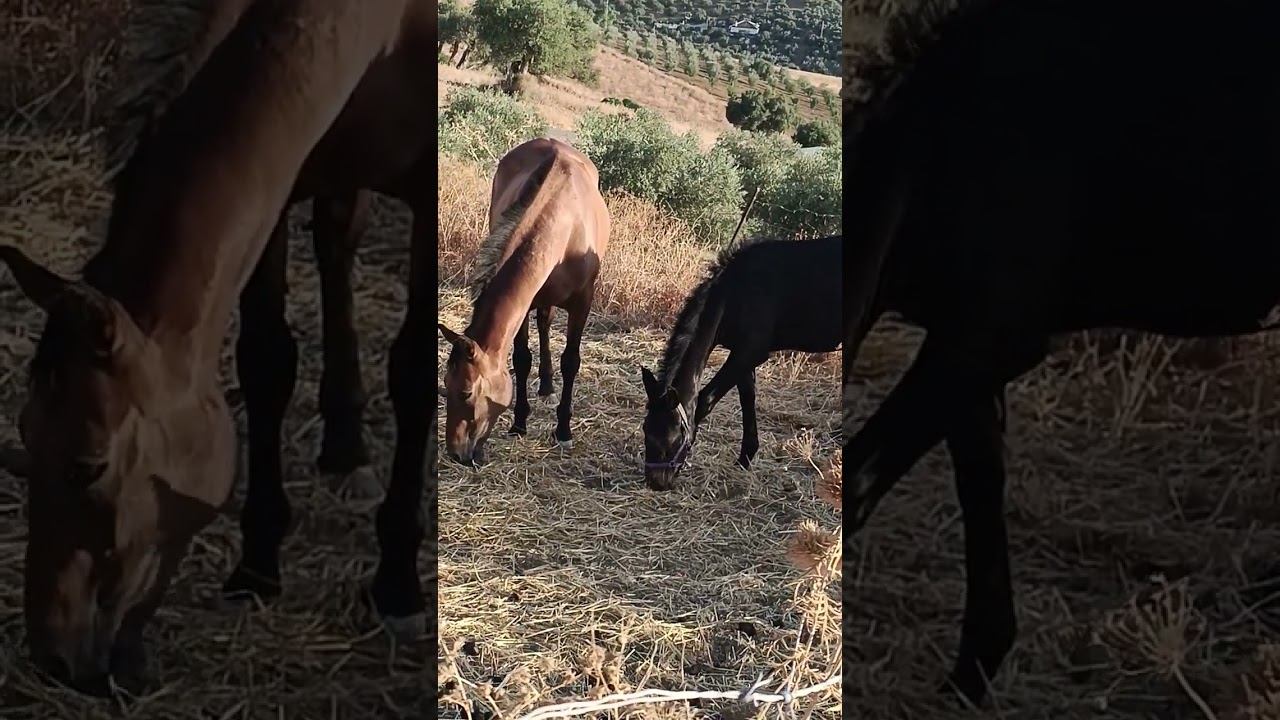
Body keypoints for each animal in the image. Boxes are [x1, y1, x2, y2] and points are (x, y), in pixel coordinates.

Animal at [0, 0, 434, 694]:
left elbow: (416, 374)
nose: (54, 657)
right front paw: (257, 564)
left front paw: (397, 585)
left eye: (87, 466)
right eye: (25, 434)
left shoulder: (426, 195)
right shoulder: (282, 179)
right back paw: (344, 444)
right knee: (336, 240)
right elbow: (266, 361)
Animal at [438, 137, 611, 467]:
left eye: (465, 393)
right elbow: (521, 358)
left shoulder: (582, 303)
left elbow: (571, 361)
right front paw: (519, 423)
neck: (563, 224)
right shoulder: (526, 303)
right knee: (543, 322)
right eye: (445, 386)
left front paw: (564, 431)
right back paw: (545, 383)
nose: (455, 452)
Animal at [640, 235, 842, 490]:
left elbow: (705, 400)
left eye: (672, 437)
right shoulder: (742, 354)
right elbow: (747, 398)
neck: (735, 293)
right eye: (645, 429)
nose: (656, 482)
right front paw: (745, 458)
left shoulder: (750, 353)